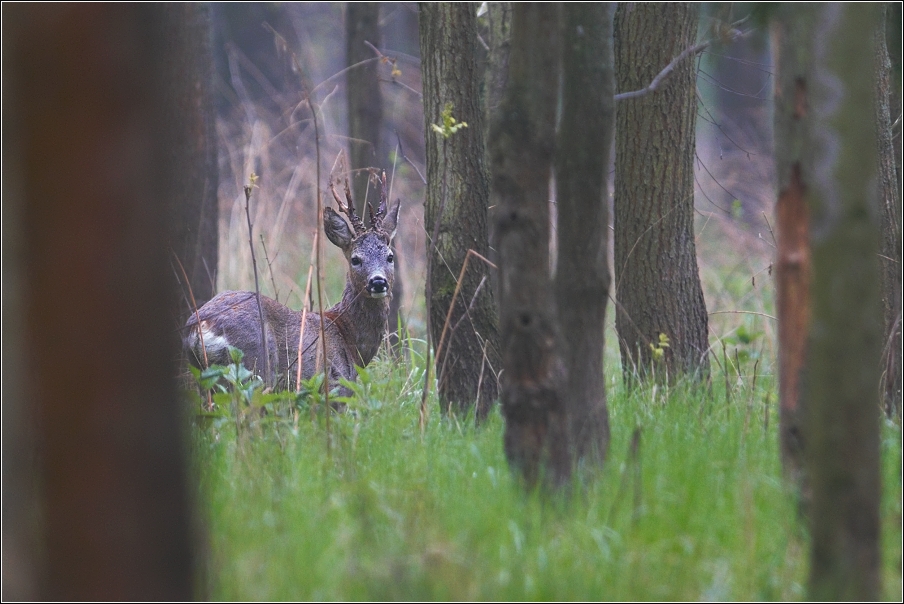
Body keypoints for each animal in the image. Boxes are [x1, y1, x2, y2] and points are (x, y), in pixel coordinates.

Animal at [185, 172, 400, 394]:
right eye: (355, 259)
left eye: (390, 257)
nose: (378, 282)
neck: (349, 338)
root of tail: (200, 328)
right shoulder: (335, 385)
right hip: (253, 369)